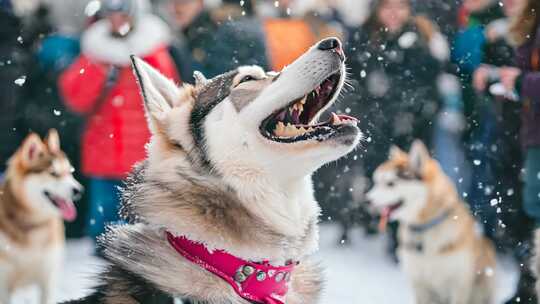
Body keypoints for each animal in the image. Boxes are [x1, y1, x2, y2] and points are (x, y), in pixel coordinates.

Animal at [0, 130, 82, 304]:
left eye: (70, 172)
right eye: (53, 173)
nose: (79, 190)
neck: (33, 224)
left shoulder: (48, 278)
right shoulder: (3, 284)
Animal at [364, 141, 496, 304]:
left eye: (390, 184)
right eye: (376, 182)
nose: (366, 200)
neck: (424, 227)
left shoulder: (458, 285)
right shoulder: (419, 283)